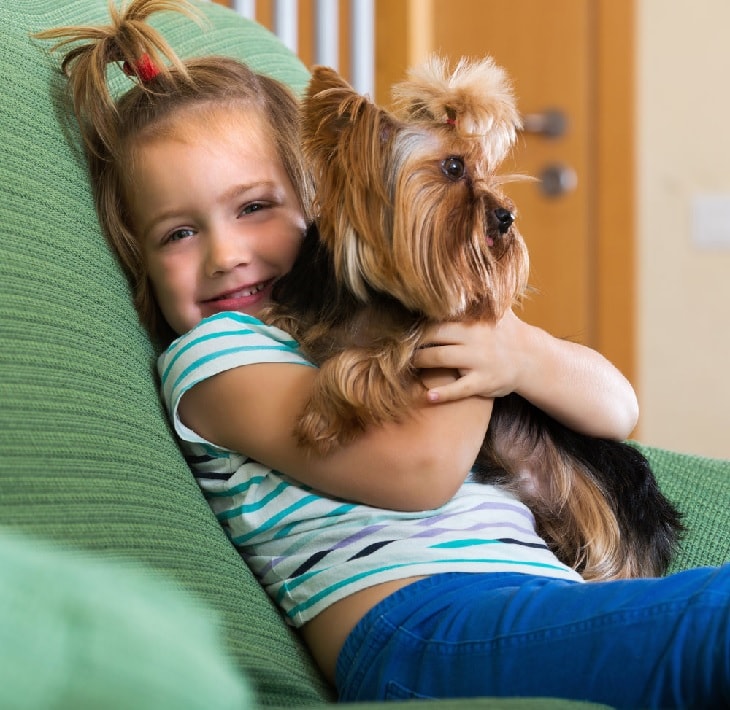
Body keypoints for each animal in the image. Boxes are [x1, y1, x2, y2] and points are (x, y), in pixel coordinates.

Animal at [264, 54, 684, 580]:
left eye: (486, 170)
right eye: (453, 166)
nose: (506, 216)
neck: (376, 299)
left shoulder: (429, 336)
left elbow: (361, 362)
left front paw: (321, 418)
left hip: (599, 506)